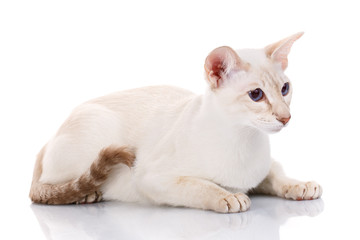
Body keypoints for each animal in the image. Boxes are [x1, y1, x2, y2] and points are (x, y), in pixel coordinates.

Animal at [28, 32, 320, 214]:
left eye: (285, 89)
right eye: (256, 95)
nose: (286, 117)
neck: (245, 139)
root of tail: (47, 140)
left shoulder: (264, 168)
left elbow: (277, 176)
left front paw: (301, 185)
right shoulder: (153, 178)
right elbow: (202, 186)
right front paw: (228, 196)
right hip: (97, 129)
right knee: (49, 185)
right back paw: (86, 195)